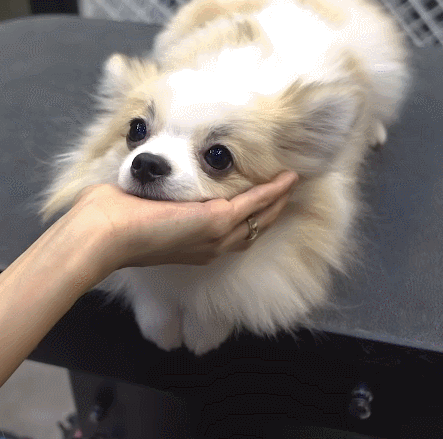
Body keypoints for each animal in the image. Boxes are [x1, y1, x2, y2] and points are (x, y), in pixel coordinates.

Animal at [40, 0, 410, 354]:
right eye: (136, 130)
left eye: (219, 157)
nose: (146, 163)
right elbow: (148, 287)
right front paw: (160, 326)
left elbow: (228, 291)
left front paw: (204, 329)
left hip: (381, 68)